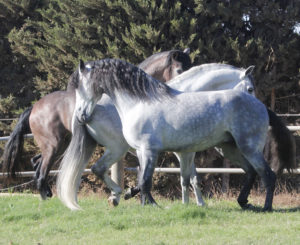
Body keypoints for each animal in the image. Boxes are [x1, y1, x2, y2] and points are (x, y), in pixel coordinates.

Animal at [1, 48, 191, 199]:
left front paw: (130, 192)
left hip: (61, 144)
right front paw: (128, 192)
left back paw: (48, 193)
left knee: (37, 163)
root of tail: (34, 107)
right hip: (53, 146)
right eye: (180, 69)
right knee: (40, 172)